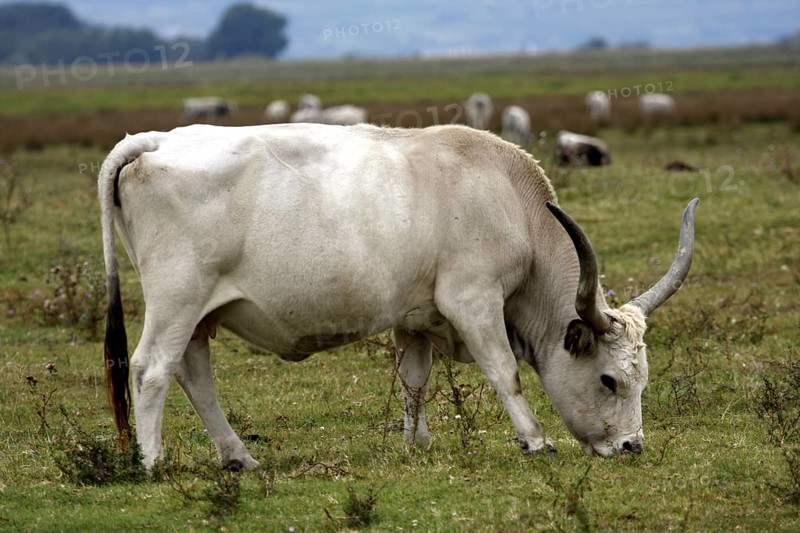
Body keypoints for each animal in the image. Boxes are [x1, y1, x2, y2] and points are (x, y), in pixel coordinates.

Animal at [99, 123, 697, 470]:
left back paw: (238, 456)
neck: (509, 201)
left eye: (642, 380)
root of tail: (156, 139)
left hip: (199, 312)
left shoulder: (417, 316)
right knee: (152, 369)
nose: (632, 446)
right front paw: (535, 440)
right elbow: (504, 371)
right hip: (177, 299)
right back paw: (153, 463)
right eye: (609, 380)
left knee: (194, 374)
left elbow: (414, 379)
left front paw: (417, 443)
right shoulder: (473, 300)